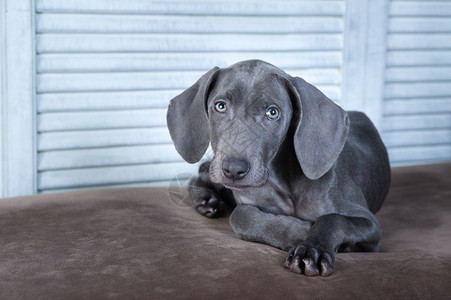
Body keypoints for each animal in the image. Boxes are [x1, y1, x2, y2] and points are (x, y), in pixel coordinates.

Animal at [168, 59, 390, 276]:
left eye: (272, 112)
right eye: (221, 106)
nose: (233, 170)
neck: (283, 184)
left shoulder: (371, 225)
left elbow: (335, 219)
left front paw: (313, 249)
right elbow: (239, 216)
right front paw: (299, 231)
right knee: (201, 174)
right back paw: (207, 198)